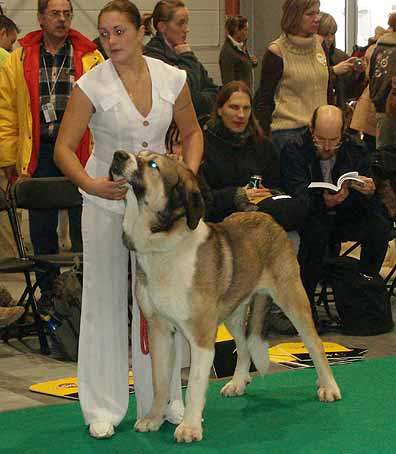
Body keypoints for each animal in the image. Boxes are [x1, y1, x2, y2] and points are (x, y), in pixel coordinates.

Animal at [110, 151, 342, 442]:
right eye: (135, 154)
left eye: (153, 164)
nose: (118, 156)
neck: (164, 245)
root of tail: (262, 214)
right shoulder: (159, 331)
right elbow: (159, 381)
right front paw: (153, 418)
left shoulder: (201, 336)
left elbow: (195, 384)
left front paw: (189, 427)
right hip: (233, 313)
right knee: (243, 346)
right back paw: (238, 382)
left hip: (292, 298)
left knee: (314, 344)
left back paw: (329, 386)